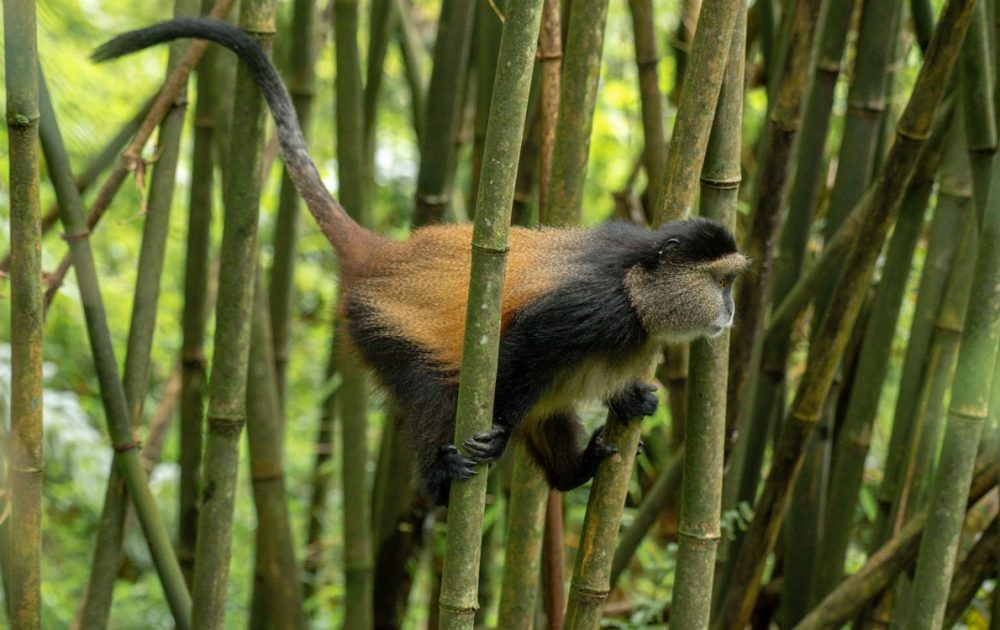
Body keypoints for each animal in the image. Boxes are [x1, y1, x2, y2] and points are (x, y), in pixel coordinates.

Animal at [93, 18, 750, 505]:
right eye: (720, 282)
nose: (731, 310)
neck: (639, 289)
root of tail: (383, 257)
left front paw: (633, 403)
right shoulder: (593, 311)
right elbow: (521, 346)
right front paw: (490, 442)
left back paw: (575, 471)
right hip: (375, 325)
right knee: (434, 386)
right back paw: (442, 483)